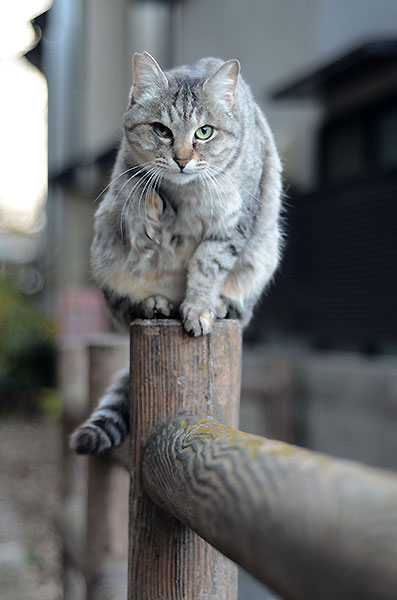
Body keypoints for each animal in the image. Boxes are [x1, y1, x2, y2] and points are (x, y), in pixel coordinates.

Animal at [70, 52, 282, 454]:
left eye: (205, 132)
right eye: (161, 130)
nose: (182, 160)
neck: (189, 194)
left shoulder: (233, 223)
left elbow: (207, 265)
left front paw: (199, 308)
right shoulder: (125, 176)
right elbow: (138, 190)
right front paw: (151, 210)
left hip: (264, 254)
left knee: (239, 306)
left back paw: (219, 305)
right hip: (106, 254)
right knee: (127, 308)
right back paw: (156, 303)